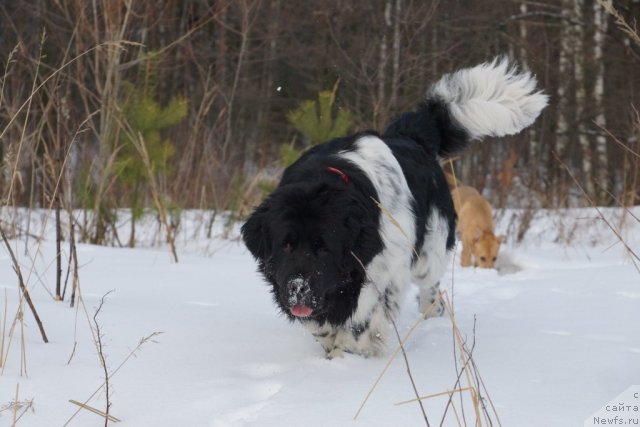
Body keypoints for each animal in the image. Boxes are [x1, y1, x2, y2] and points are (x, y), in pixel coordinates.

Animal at [242, 56, 548, 358]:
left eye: (324, 248)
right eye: (286, 245)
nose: (298, 287)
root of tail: (410, 137)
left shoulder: (386, 268)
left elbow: (365, 319)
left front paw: (353, 351)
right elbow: (325, 324)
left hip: (429, 253)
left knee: (430, 285)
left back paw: (432, 311)